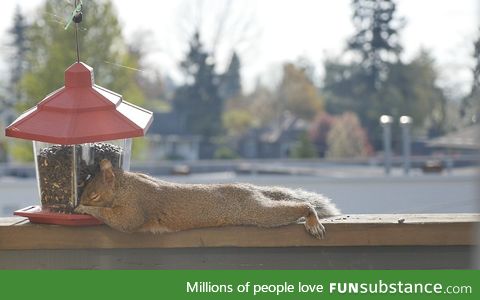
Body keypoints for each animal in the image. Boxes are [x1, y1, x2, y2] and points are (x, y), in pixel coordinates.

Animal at [75, 159, 340, 239]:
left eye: (94, 193)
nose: (79, 201)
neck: (125, 186)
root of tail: (252, 189)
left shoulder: (137, 205)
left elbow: (124, 222)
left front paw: (85, 209)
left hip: (257, 211)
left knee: (289, 209)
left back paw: (312, 219)